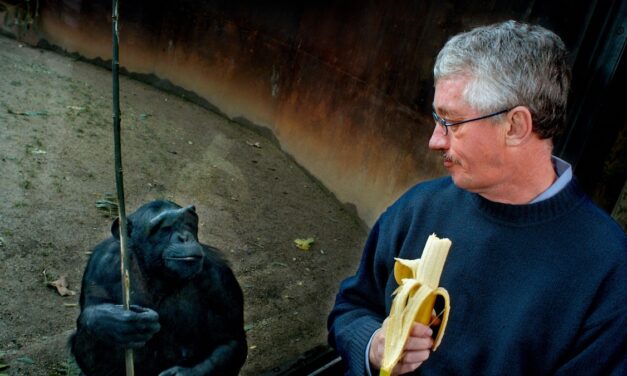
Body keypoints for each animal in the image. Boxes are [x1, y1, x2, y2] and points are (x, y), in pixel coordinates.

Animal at [72, 198, 248, 374]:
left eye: (188, 224)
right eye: (165, 228)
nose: (184, 237)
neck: (156, 272)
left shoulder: (219, 277)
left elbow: (230, 340)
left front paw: (183, 373)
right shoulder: (102, 262)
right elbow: (93, 308)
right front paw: (113, 322)